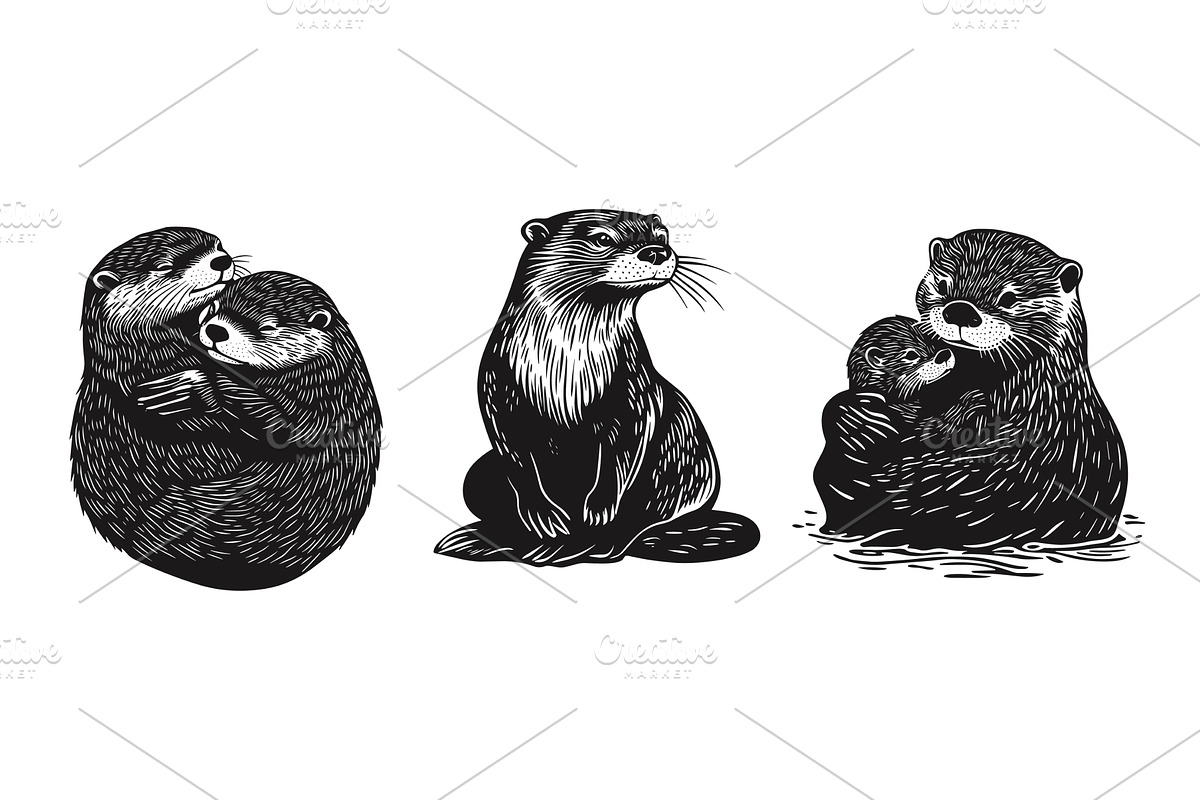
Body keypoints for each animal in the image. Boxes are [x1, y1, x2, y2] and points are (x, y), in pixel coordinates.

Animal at [434, 209, 759, 566]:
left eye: (662, 235)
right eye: (601, 238)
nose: (655, 251)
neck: (566, 368)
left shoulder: (634, 392)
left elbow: (622, 454)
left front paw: (599, 512)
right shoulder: (497, 388)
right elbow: (515, 455)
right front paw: (544, 517)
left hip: (684, 468)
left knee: (645, 519)